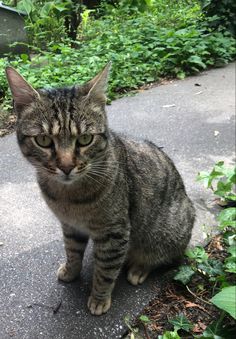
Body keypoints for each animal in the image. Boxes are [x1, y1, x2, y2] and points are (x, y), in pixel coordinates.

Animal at [5, 63, 195, 316]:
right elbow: (72, 251)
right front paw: (71, 271)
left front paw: (99, 298)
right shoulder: (70, 226)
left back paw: (139, 268)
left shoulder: (114, 233)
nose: (66, 166)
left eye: (85, 139)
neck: (67, 197)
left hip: (164, 232)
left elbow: (105, 271)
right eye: (44, 140)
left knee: (163, 255)